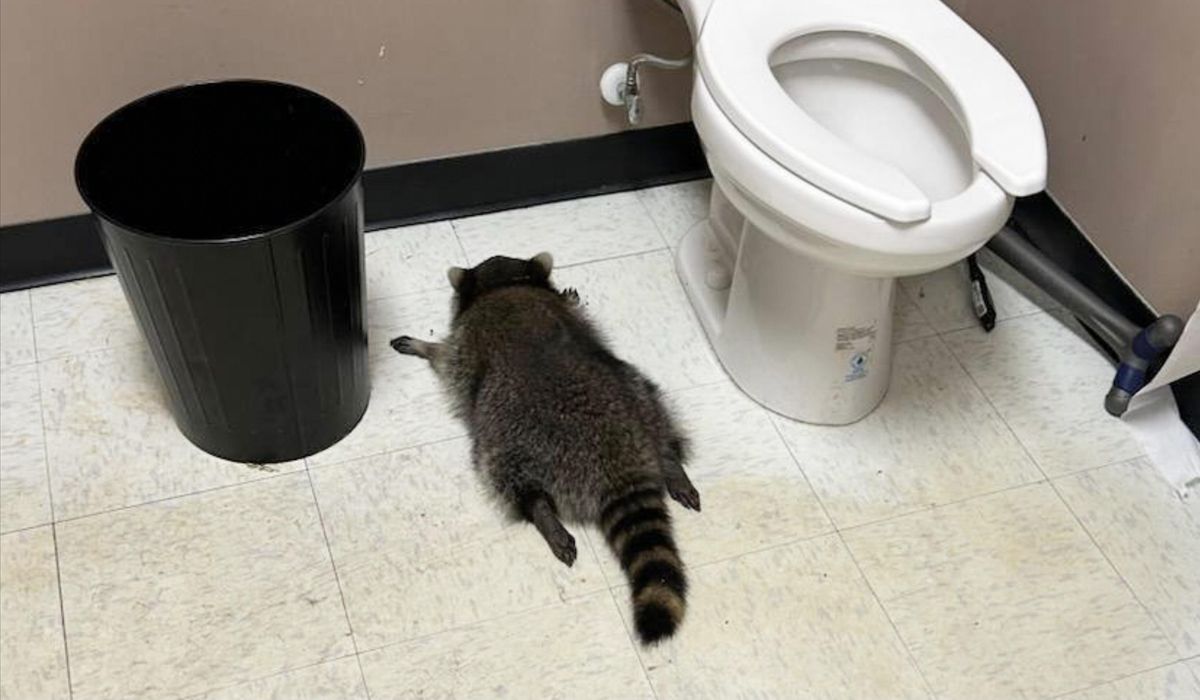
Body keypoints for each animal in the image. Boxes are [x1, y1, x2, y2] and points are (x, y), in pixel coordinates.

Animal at [390, 252, 700, 644]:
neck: (505, 284)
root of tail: (618, 459)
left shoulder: (464, 345)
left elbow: (445, 357)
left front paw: (424, 346)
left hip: (510, 437)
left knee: (505, 474)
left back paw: (541, 511)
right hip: (637, 392)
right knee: (656, 411)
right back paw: (671, 461)